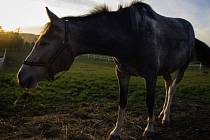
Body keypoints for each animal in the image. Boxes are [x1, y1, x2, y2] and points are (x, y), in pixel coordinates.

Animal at [16, 1, 210, 139]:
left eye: (43, 43)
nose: (21, 76)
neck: (131, 34)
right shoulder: (122, 74)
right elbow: (122, 102)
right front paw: (116, 131)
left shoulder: (150, 76)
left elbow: (149, 101)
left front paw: (149, 128)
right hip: (166, 69)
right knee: (168, 86)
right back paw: (162, 113)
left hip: (181, 68)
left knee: (173, 89)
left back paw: (165, 117)